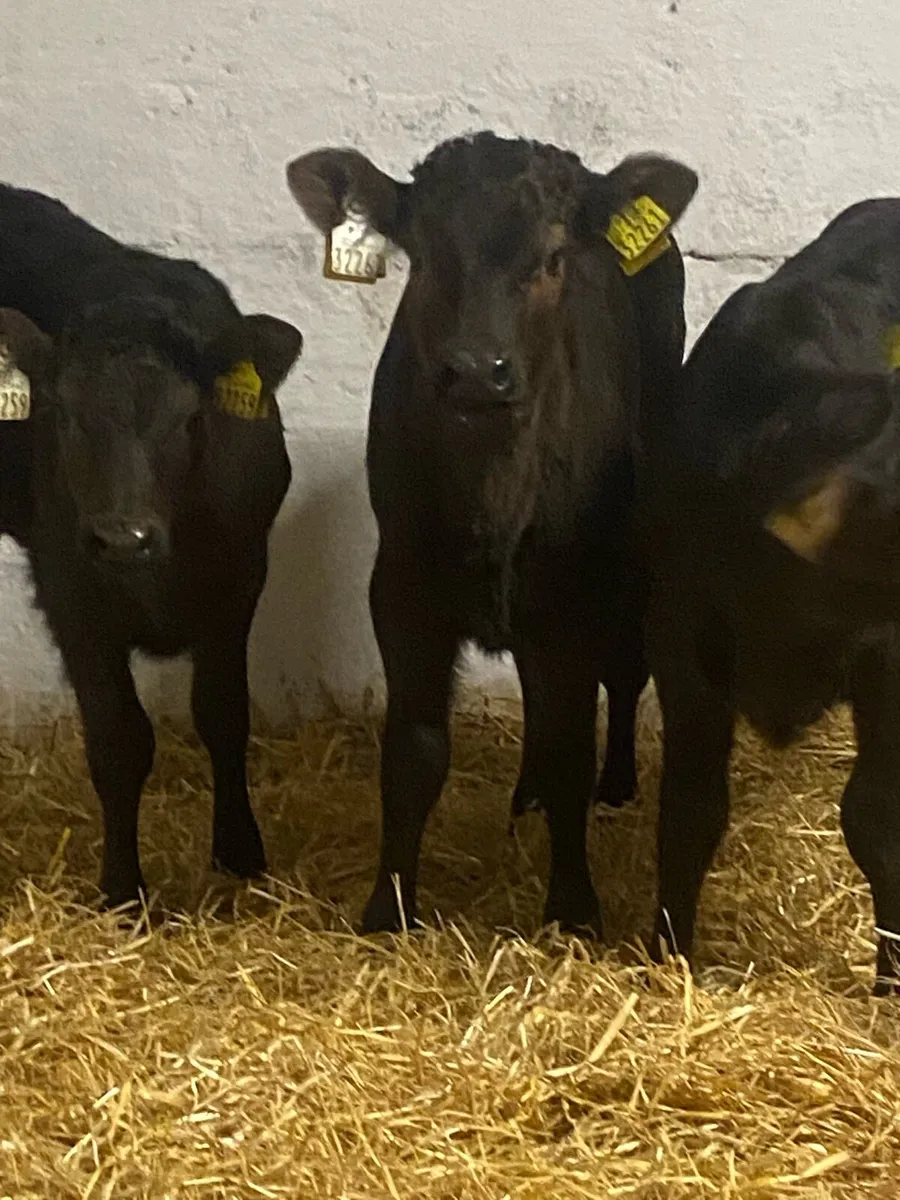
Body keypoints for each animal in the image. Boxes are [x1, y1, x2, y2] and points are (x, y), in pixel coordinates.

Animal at [0, 184, 302, 906]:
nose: (121, 536)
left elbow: (223, 715)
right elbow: (118, 742)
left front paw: (240, 852)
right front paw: (121, 888)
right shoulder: (70, 595)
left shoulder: (238, 583)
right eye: (62, 414)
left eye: (189, 416)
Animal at [287, 132, 698, 935]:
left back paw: (615, 783)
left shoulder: (579, 590)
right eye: (421, 255)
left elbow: (573, 745)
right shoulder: (401, 587)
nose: (479, 371)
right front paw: (389, 905)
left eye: (553, 258)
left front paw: (572, 909)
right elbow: (414, 751)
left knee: (621, 676)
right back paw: (527, 791)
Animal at [645, 198, 900, 994]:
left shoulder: (890, 657)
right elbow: (690, 809)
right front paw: (666, 957)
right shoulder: (679, 641)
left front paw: (890, 983)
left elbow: (875, 817)